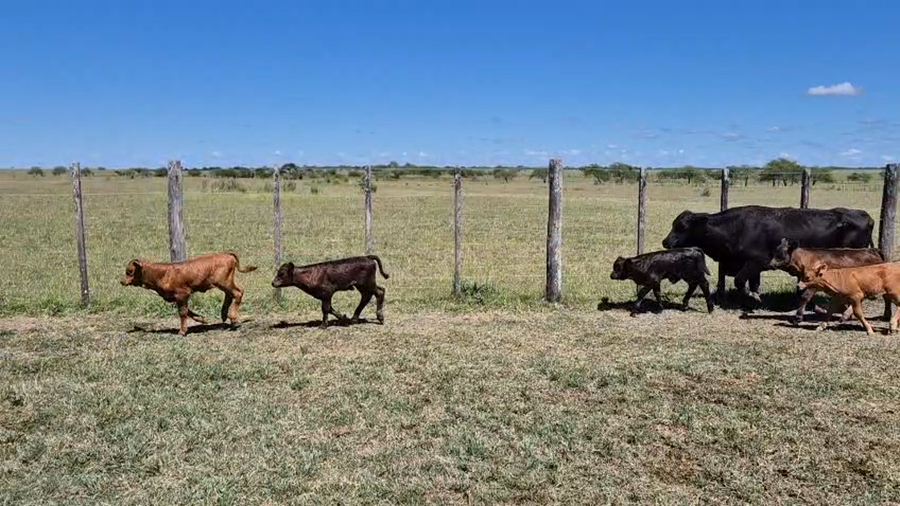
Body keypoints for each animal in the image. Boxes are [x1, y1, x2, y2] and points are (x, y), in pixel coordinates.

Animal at [120, 252, 257, 335]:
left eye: (129, 271)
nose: (121, 281)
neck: (163, 274)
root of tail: (226, 254)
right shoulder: (177, 298)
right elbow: (188, 311)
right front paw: (201, 319)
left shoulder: (182, 294)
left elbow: (182, 313)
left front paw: (182, 331)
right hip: (224, 283)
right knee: (230, 295)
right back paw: (224, 314)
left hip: (224, 282)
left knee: (238, 292)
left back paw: (233, 317)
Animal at [661, 205, 875, 307]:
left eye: (682, 226)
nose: (665, 242)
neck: (736, 227)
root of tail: (865, 215)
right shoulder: (752, 267)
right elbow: (752, 284)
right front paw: (751, 300)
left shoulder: (755, 262)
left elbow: (740, 282)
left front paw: (753, 299)